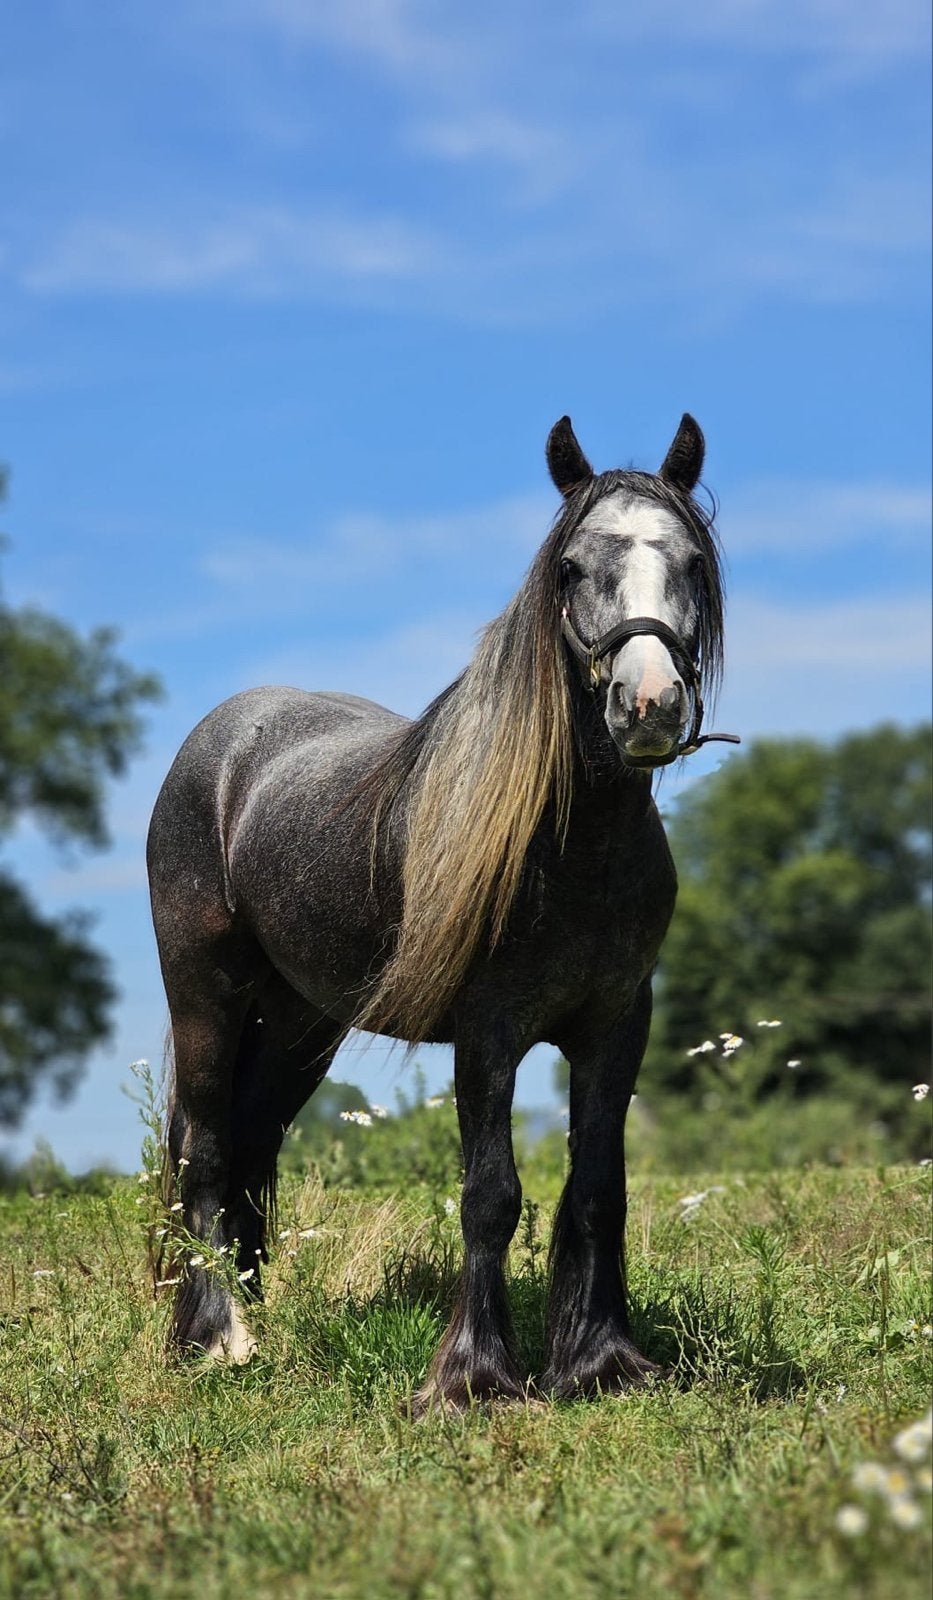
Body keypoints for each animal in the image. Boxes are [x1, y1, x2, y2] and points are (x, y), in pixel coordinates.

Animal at [147, 413, 734, 1411]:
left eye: (692, 561)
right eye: (571, 567)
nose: (648, 703)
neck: (570, 849)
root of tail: (221, 741)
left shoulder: (617, 1023)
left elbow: (596, 1188)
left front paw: (599, 1362)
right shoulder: (486, 1031)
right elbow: (489, 1194)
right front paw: (474, 1378)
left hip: (301, 1022)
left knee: (255, 1143)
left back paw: (258, 1314)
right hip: (205, 997)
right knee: (210, 1152)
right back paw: (222, 1337)